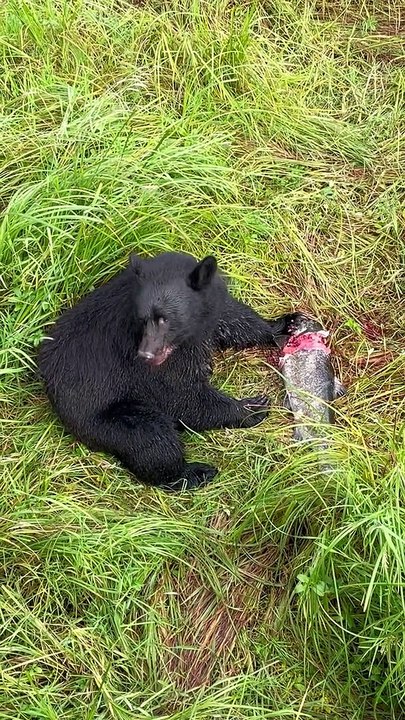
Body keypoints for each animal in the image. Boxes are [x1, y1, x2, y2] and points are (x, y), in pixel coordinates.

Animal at [38, 252, 298, 491]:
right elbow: (180, 396)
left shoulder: (212, 308)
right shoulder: (150, 365)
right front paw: (251, 407)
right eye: (141, 319)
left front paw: (284, 324)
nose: (146, 354)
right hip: (106, 415)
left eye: (165, 319)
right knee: (152, 437)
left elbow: (237, 320)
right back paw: (193, 472)